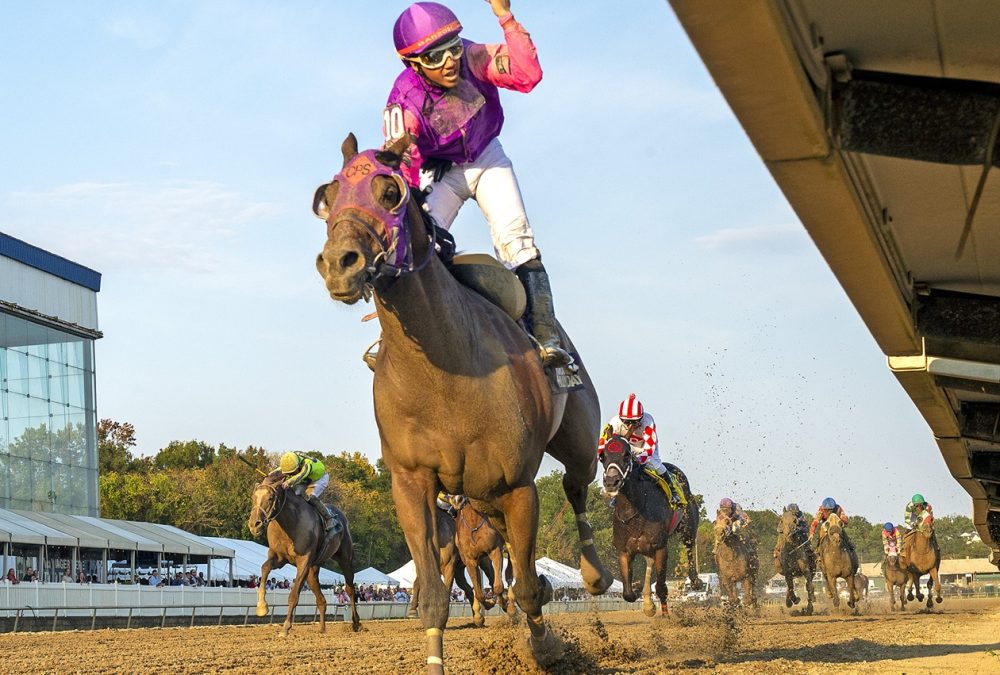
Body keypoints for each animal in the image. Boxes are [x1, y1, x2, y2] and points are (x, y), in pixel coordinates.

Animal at [248, 470, 362, 632]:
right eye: (253, 497)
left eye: (270, 498)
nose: (254, 525)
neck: (289, 523)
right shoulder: (279, 558)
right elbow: (264, 568)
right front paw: (262, 607)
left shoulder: (304, 561)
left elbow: (294, 595)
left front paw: (285, 627)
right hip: (313, 570)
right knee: (321, 599)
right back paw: (322, 628)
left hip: (345, 558)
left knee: (350, 588)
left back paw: (356, 622)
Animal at [312, 135, 612, 672]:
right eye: (326, 197)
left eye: (390, 192)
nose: (339, 262)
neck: (445, 369)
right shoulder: (412, 482)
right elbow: (436, 591)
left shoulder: (518, 486)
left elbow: (527, 587)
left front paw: (544, 649)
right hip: (485, 495)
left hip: (575, 439)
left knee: (577, 488)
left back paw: (596, 573)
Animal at [596, 436, 700, 616]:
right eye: (603, 457)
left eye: (626, 455)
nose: (611, 481)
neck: (634, 511)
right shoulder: (624, 551)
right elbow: (628, 594)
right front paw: (640, 592)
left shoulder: (660, 547)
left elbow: (661, 587)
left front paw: (663, 612)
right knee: (649, 563)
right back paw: (647, 602)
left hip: (689, 524)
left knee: (689, 545)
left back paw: (695, 581)